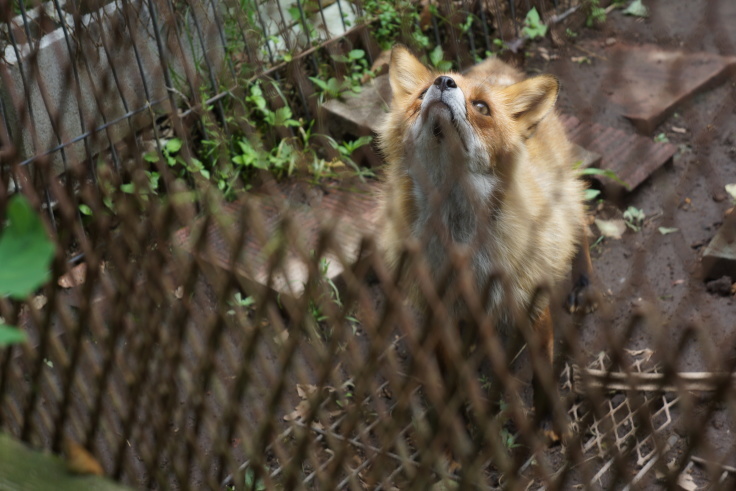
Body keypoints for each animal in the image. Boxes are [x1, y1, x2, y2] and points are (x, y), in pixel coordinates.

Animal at [376, 45, 596, 438]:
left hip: (563, 203)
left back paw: (583, 284)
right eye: (421, 94)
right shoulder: (438, 308)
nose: (443, 82)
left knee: (584, 222)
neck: (461, 240)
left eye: (481, 107)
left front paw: (548, 420)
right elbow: (449, 375)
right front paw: (456, 429)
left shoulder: (533, 302)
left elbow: (543, 374)